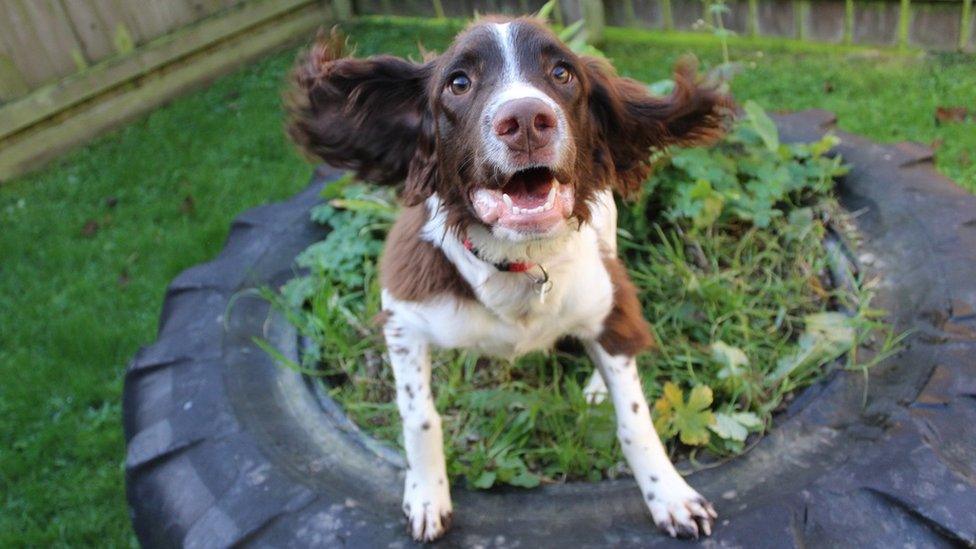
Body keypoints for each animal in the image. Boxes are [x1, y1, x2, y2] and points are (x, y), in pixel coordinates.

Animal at [290, 16, 732, 540]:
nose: (525, 120)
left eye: (562, 73)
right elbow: (419, 416)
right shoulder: (401, 315)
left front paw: (670, 495)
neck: (517, 260)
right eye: (458, 83)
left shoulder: (608, 297)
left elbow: (635, 418)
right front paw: (427, 495)